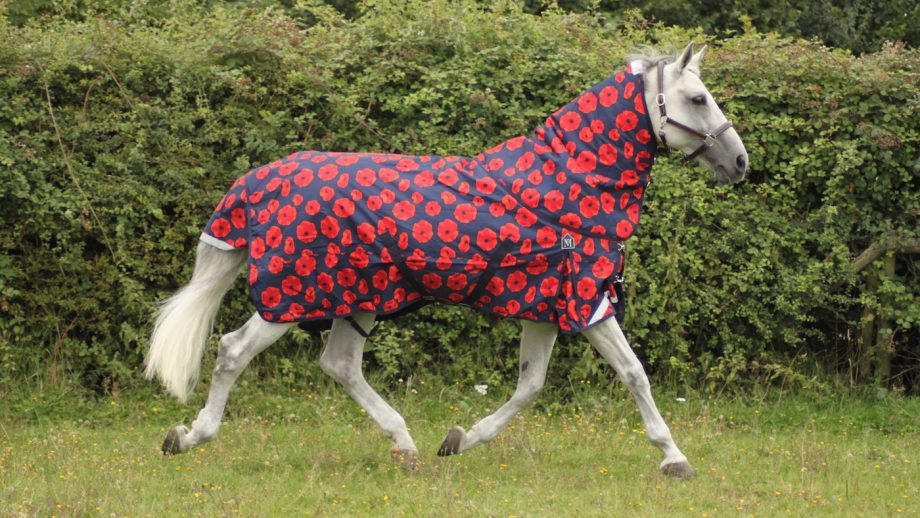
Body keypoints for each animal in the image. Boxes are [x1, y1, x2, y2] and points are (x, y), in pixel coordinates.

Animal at [146, 43, 748, 480]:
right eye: (698, 98)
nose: (740, 161)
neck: (565, 184)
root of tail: (256, 181)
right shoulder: (587, 303)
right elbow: (633, 373)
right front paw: (675, 458)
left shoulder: (542, 307)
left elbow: (530, 386)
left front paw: (458, 440)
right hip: (292, 297)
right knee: (233, 351)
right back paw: (188, 437)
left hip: (359, 297)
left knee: (340, 364)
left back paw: (406, 445)